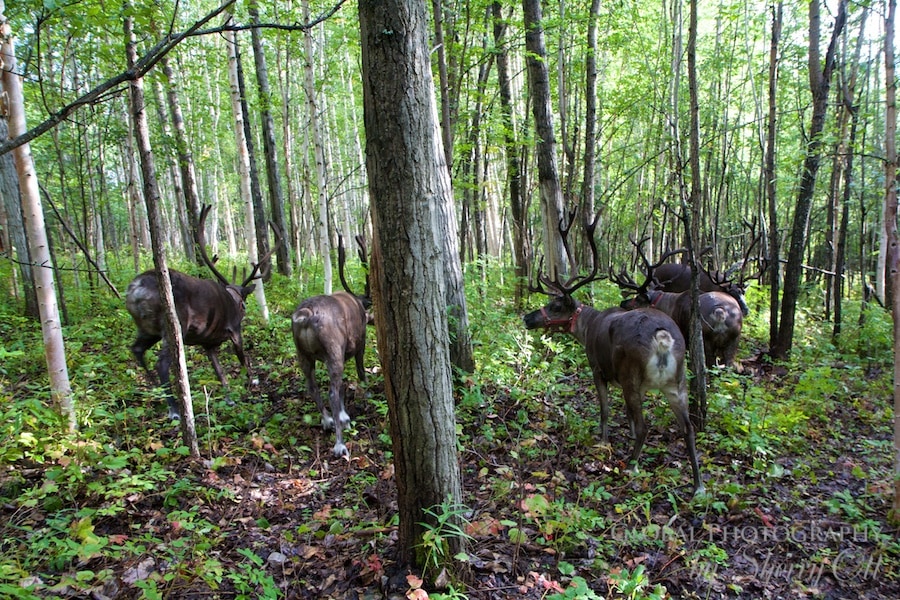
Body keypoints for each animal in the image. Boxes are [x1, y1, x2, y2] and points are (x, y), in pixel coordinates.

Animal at [125, 204, 279, 419]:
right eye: (244, 304)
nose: (244, 309)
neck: (233, 297)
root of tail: (136, 289)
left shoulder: (208, 343)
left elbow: (219, 372)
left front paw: (229, 399)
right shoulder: (234, 331)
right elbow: (243, 359)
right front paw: (253, 382)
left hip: (147, 329)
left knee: (137, 350)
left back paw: (157, 394)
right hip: (175, 325)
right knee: (161, 363)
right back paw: (174, 409)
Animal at [292, 234, 372, 458]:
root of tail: (306, 315)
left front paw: (344, 415)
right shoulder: (359, 344)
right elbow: (360, 372)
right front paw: (366, 395)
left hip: (303, 354)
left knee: (312, 386)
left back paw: (327, 420)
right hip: (333, 351)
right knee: (332, 392)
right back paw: (340, 443)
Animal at [522, 216, 703, 495]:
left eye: (555, 306)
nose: (527, 318)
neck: (587, 327)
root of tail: (663, 338)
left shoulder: (598, 369)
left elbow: (605, 410)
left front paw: (603, 441)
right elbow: (628, 416)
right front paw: (626, 435)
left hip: (631, 372)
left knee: (646, 426)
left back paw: (631, 465)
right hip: (677, 381)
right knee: (688, 428)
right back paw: (698, 485)